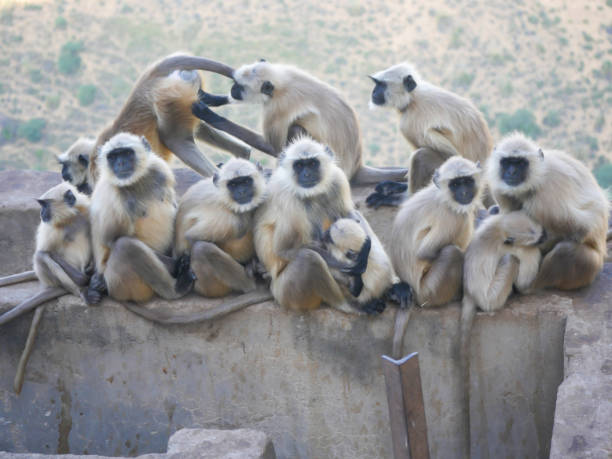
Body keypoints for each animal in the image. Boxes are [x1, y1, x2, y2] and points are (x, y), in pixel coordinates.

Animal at [85, 133, 195, 306]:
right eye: (113, 157)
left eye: (126, 153)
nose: (120, 163)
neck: (134, 183)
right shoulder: (111, 195)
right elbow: (112, 239)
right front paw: (178, 264)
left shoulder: (159, 170)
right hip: (119, 284)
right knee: (125, 246)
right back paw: (177, 289)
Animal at [173, 158, 266, 298]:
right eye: (233, 185)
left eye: (246, 181)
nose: (242, 192)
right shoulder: (228, 220)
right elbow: (191, 237)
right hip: (208, 286)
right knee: (202, 248)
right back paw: (250, 285)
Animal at [190, 59, 412, 185]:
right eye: (235, 83)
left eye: (240, 86)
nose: (234, 90)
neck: (282, 83)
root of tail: (356, 168)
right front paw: (214, 98)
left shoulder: (277, 107)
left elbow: (274, 145)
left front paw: (211, 115)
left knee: (296, 128)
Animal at [460, 211, 544, 459]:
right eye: (536, 237)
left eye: (540, 231)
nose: (545, 237)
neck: (498, 229)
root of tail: (470, 293)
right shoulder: (522, 248)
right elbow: (520, 265)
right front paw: (527, 288)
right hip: (492, 298)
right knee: (511, 261)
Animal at [486, 132, 608, 292]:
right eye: (507, 162)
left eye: (520, 163)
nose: (512, 171)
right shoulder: (502, 190)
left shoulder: (545, 197)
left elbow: (582, 230)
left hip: (591, 267)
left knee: (566, 250)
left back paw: (529, 287)